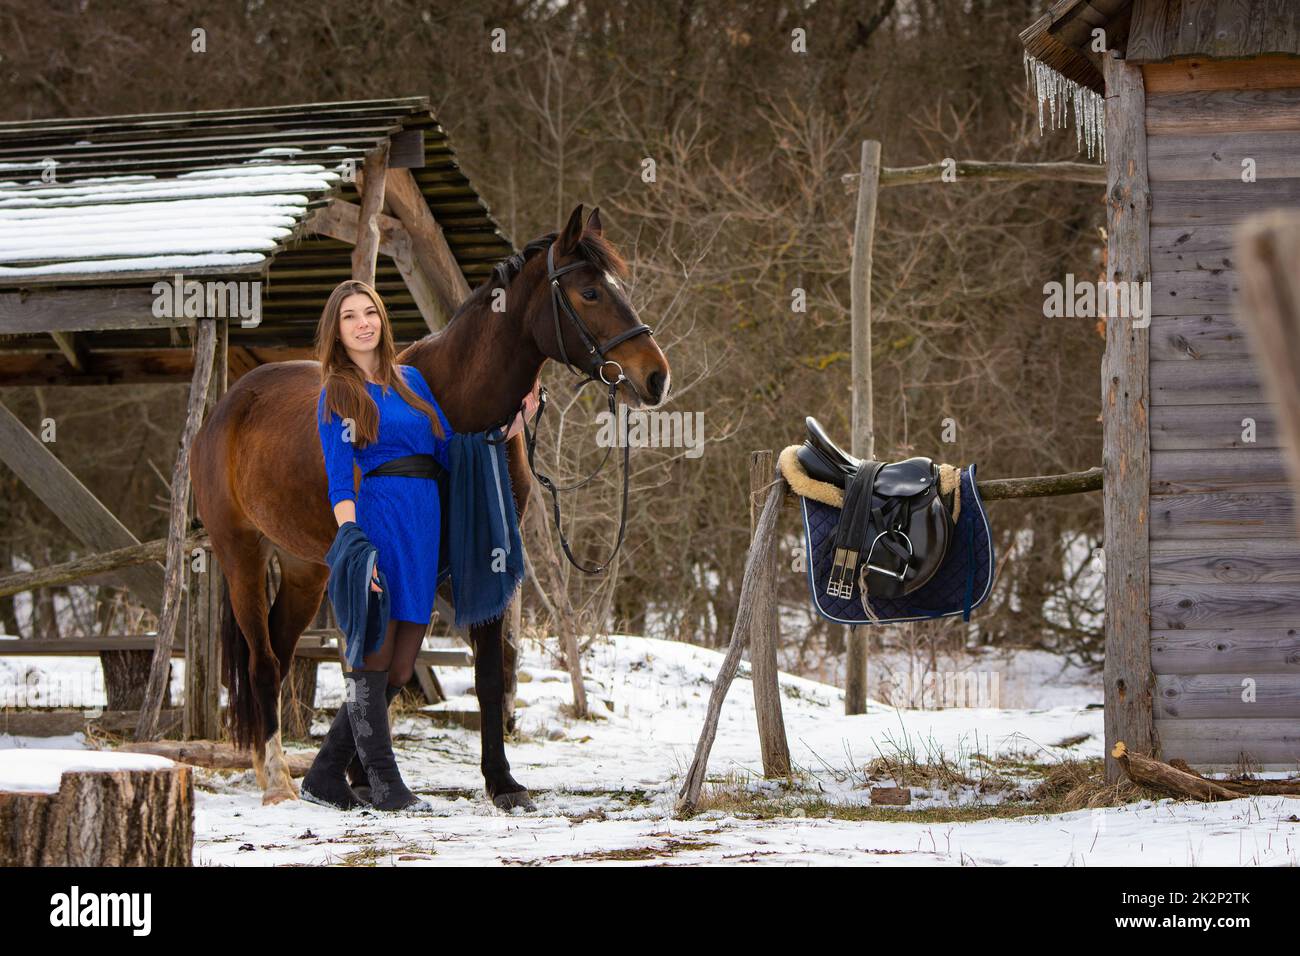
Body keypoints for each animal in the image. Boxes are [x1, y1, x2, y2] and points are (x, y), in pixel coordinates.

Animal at [189, 208, 670, 806]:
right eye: (588, 292)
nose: (655, 376)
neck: (459, 405)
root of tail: (227, 406)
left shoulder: (477, 560)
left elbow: (483, 673)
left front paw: (500, 782)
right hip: (242, 554)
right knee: (261, 660)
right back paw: (277, 779)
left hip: (306, 569)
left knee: (277, 657)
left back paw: (266, 767)